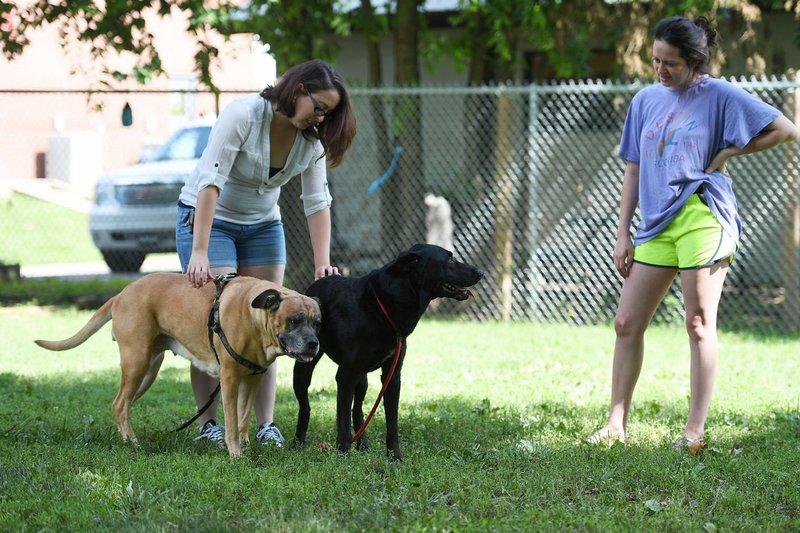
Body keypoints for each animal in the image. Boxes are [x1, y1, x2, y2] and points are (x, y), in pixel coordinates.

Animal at [33, 272, 322, 456]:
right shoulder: (229, 378)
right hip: (136, 362)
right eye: (295, 320)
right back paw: (131, 443)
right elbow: (231, 421)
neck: (254, 318)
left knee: (123, 405)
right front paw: (235, 453)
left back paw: (128, 438)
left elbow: (243, 419)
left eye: (318, 322)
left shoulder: (252, 378)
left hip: (148, 369)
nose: (313, 343)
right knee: (120, 404)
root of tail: (121, 294)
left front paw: (246, 445)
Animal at [292, 243, 482, 460]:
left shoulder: (392, 376)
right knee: (306, 407)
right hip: (304, 371)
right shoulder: (346, 375)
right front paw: (343, 454)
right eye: (449, 259)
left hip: (362, 379)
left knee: (357, 409)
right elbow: (343, 420)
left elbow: (392, 422)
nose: (481, 272)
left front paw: (394, 457)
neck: (385, 304)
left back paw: (363, 445)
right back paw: (298, 443)